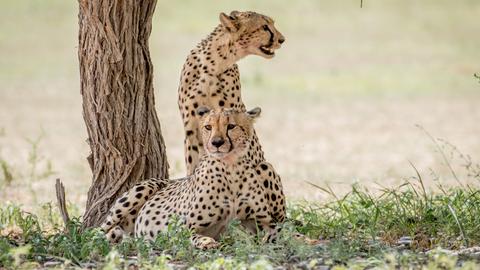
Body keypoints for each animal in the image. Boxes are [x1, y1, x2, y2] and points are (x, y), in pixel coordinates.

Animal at [99, 107, 284, 249]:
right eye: (208, 127)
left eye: (231, 126)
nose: (216, 143)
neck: (231, 168)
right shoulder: (183, 228)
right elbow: (195, 236)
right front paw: (207, 242)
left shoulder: (265, 222)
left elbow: (279, 233)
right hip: (141, 190)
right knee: (99, 231)